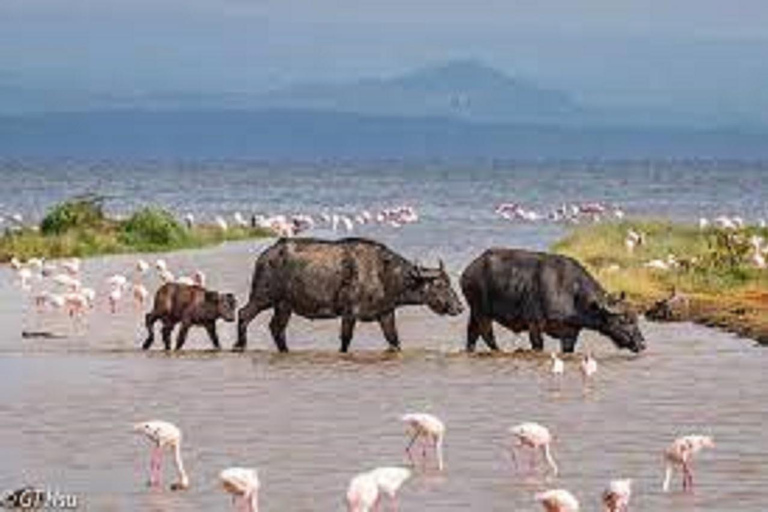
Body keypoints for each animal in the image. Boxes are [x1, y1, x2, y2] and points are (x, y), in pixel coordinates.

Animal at [232, 237, 462, 352]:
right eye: (441, 284)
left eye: (450, 283)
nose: (459, 307)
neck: (384, 274)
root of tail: (266, 255)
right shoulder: (349, 313)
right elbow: (345, 339)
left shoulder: (385, 314)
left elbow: (394, 340)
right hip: (263, 297)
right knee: (244, 314)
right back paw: (239, 345)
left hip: (284, 306)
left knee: (276, 328)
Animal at [460, 250, 644, 354]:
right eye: (623, 320)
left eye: (635, 319)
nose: (642, 343)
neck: (573, 293)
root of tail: (469, 271)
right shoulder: (534, 325)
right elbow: (538, 346)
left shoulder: (571, 333)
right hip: (482, 312)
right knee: (487, 335)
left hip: (475, 312)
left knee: (472, 334)